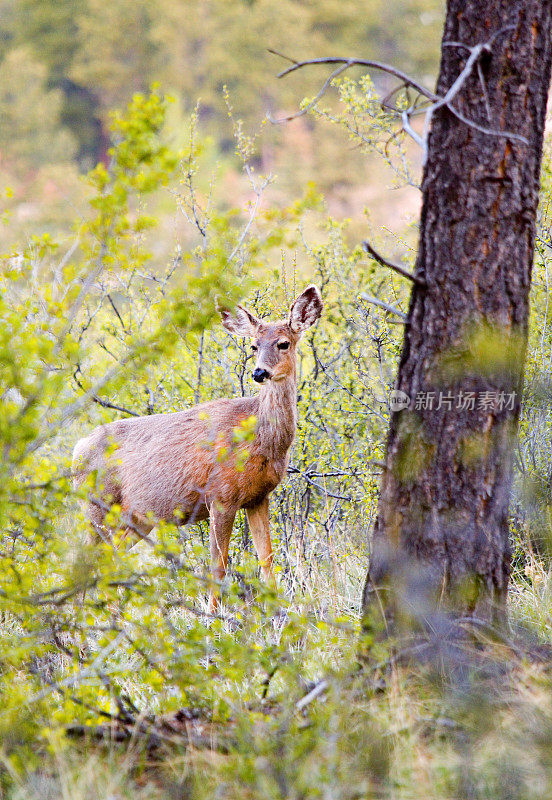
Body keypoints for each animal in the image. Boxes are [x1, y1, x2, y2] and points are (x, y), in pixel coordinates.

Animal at [73, 284, 324, 608]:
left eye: (283, 343)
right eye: (253, 346)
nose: (259, 373)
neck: (259, 440)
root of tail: (76, 449)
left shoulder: (258, 497)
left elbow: (267, 559)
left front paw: (279, 608)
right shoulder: (221, 495)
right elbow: (219, 566)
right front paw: (216, 614)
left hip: (136, 519)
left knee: (110, 558)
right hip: (97, 507)